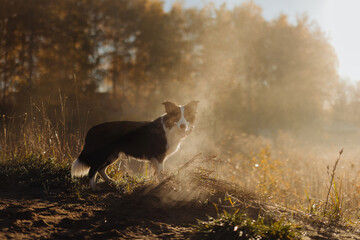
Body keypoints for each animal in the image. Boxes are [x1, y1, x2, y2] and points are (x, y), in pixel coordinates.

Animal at [70, 101, 200, 189]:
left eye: (187, 117)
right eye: (176, 116)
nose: (183, 126)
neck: (169, 127)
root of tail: (91, 130)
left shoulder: (156, 158)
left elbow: (156, 172)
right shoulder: (159, 156)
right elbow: (160, 172)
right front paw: (162, 184)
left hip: (113, 155)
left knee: (101, 169)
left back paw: (111, 181)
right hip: (103, 154)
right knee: (92, 170)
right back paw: (94, 187)